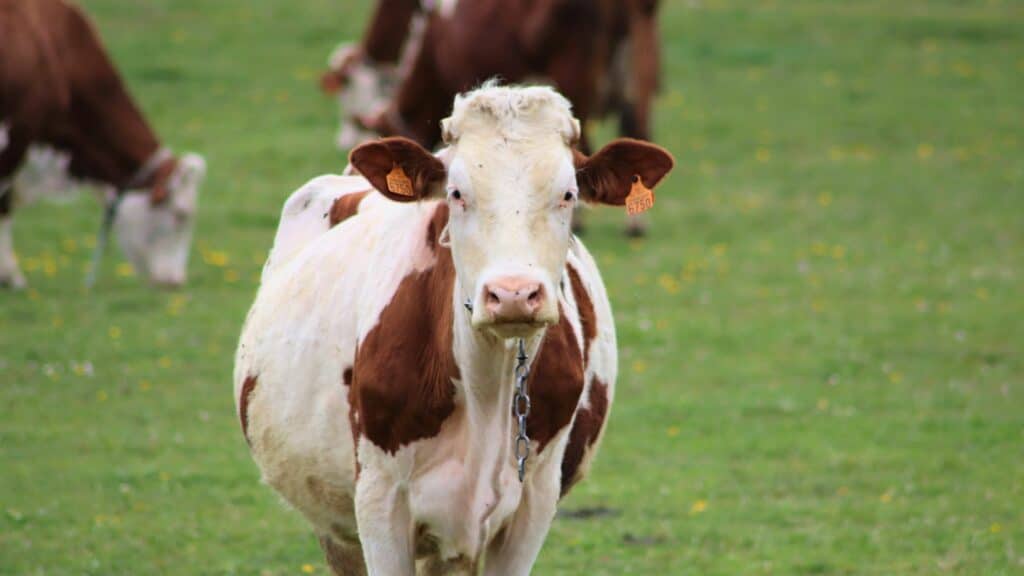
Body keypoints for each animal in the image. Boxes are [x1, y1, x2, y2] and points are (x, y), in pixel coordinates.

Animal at [235, 83, 675, 569]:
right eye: (457, 193)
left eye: (568, 194)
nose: (513, 293)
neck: (486, 388)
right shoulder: (378, 504)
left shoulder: (533, 506)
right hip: (335, 526)